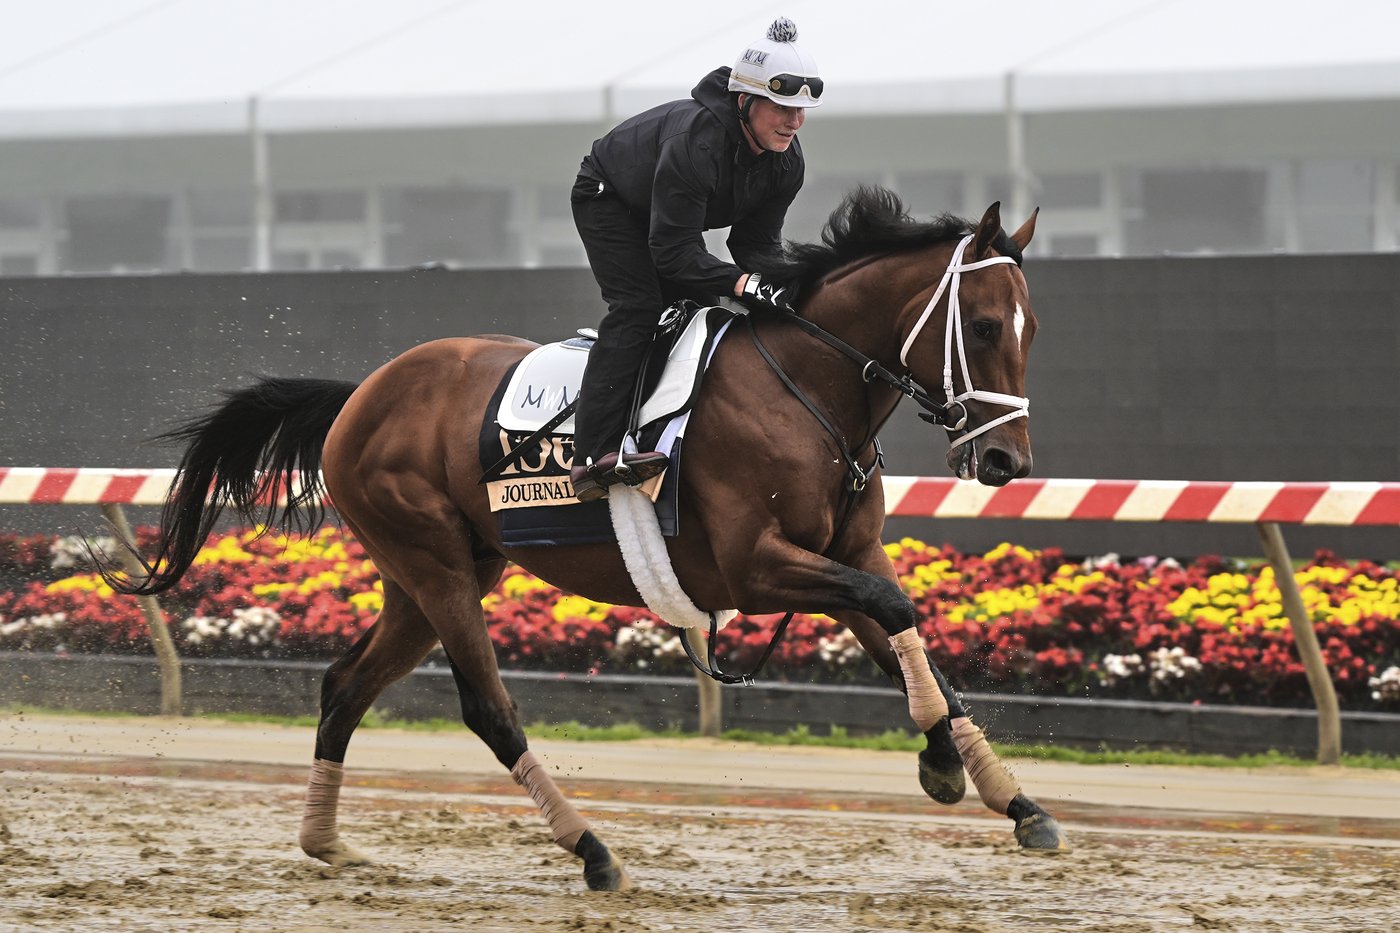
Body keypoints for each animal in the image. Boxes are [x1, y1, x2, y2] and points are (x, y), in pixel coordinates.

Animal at [108, 186, 1068, 891]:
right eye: (984, 326)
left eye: (1031, 330)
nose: (1005, 459)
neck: (805, 389)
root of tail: (359, 396)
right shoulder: (757, 566)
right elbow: (895, 610)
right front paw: (947, 768)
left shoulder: (843, 553)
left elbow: (909, 636)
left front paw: (1008, 796)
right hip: (434, 562)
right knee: (488, 709)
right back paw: (593, 849)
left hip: (431, 576)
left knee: (344, 686)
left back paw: (325, 842)